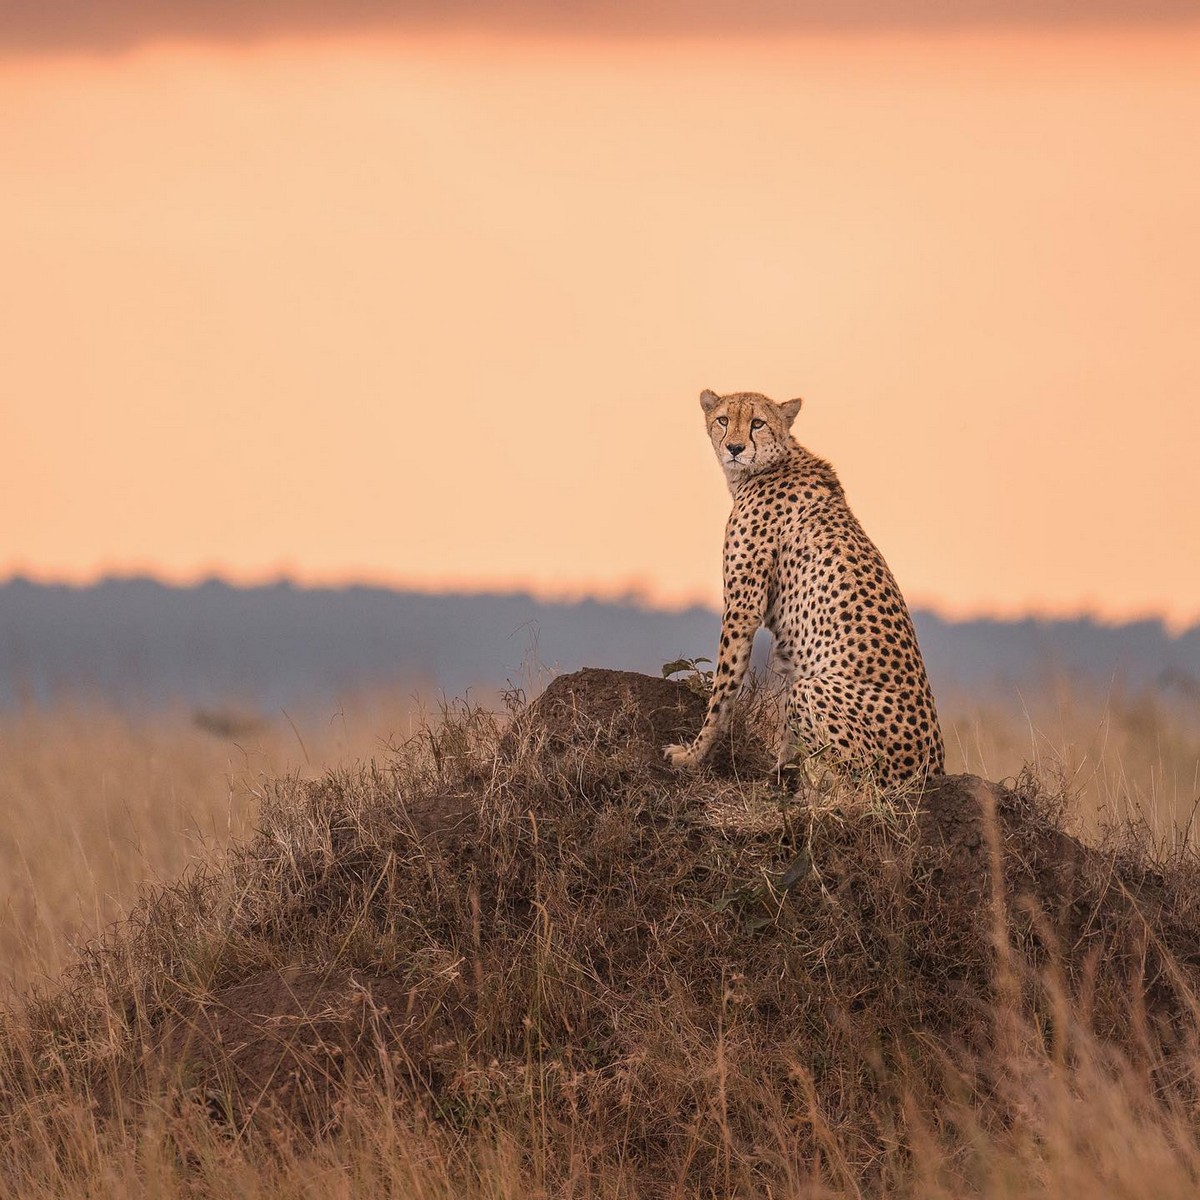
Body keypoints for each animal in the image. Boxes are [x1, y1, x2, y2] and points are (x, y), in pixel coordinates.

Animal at [667, 388, 945, 792]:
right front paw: (780, 768)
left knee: (854, 787)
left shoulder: (743, 606)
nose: (735, 447)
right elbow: (784, 724)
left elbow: (723, 690)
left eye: (757, 423)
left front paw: (693, 755)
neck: (767, 465)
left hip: (819, 695)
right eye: (723, 419)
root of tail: (934, 770)